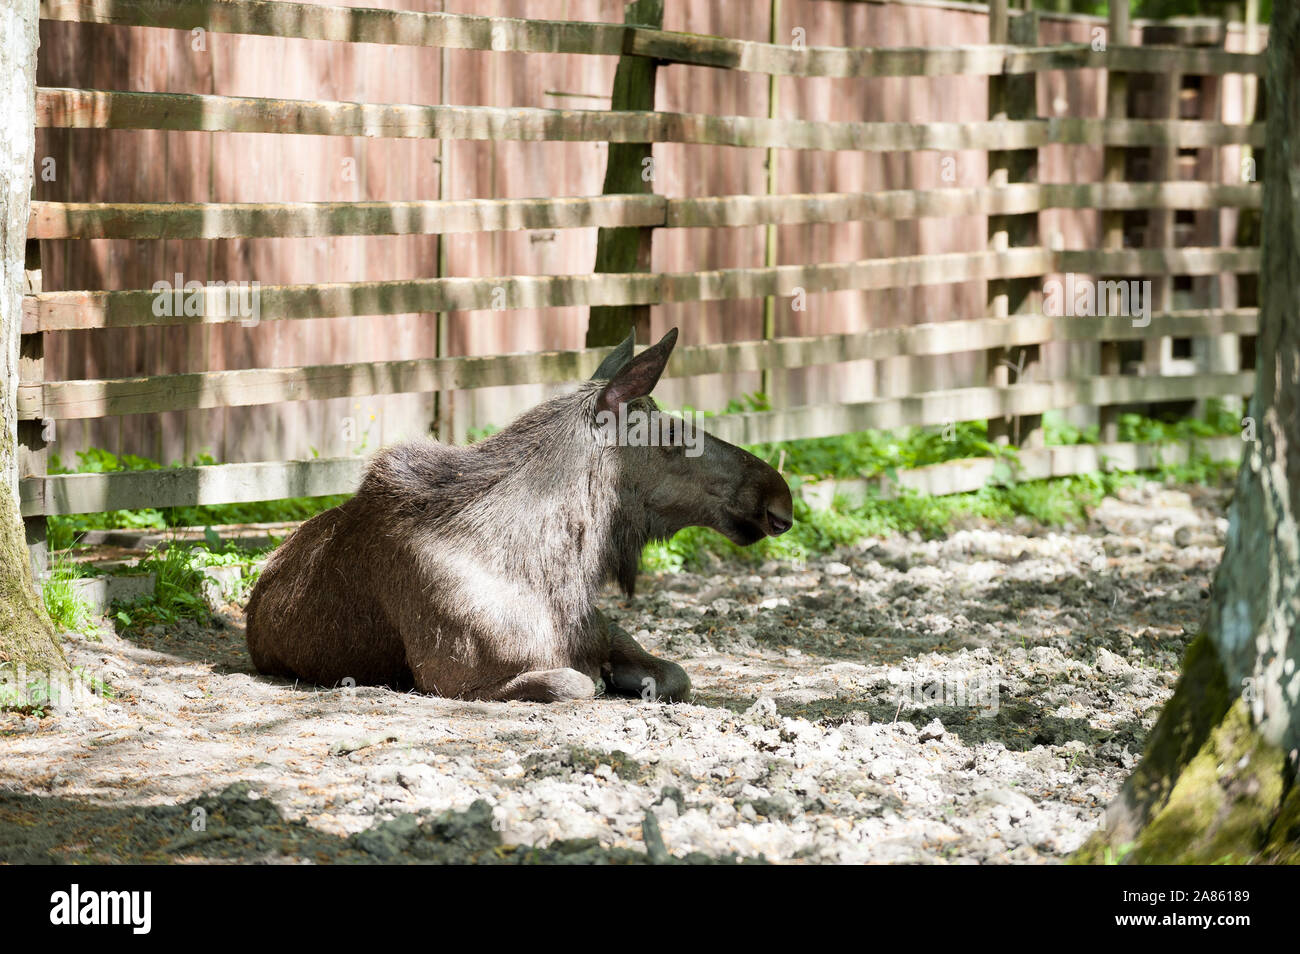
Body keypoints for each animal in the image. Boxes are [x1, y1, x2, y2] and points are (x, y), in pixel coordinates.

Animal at [244, 328, 790, 701]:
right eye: (675, 438)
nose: (778, 498)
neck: (557, 573)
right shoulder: (456, 677)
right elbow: (577, 683)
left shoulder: (603, 629)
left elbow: (676, 674)